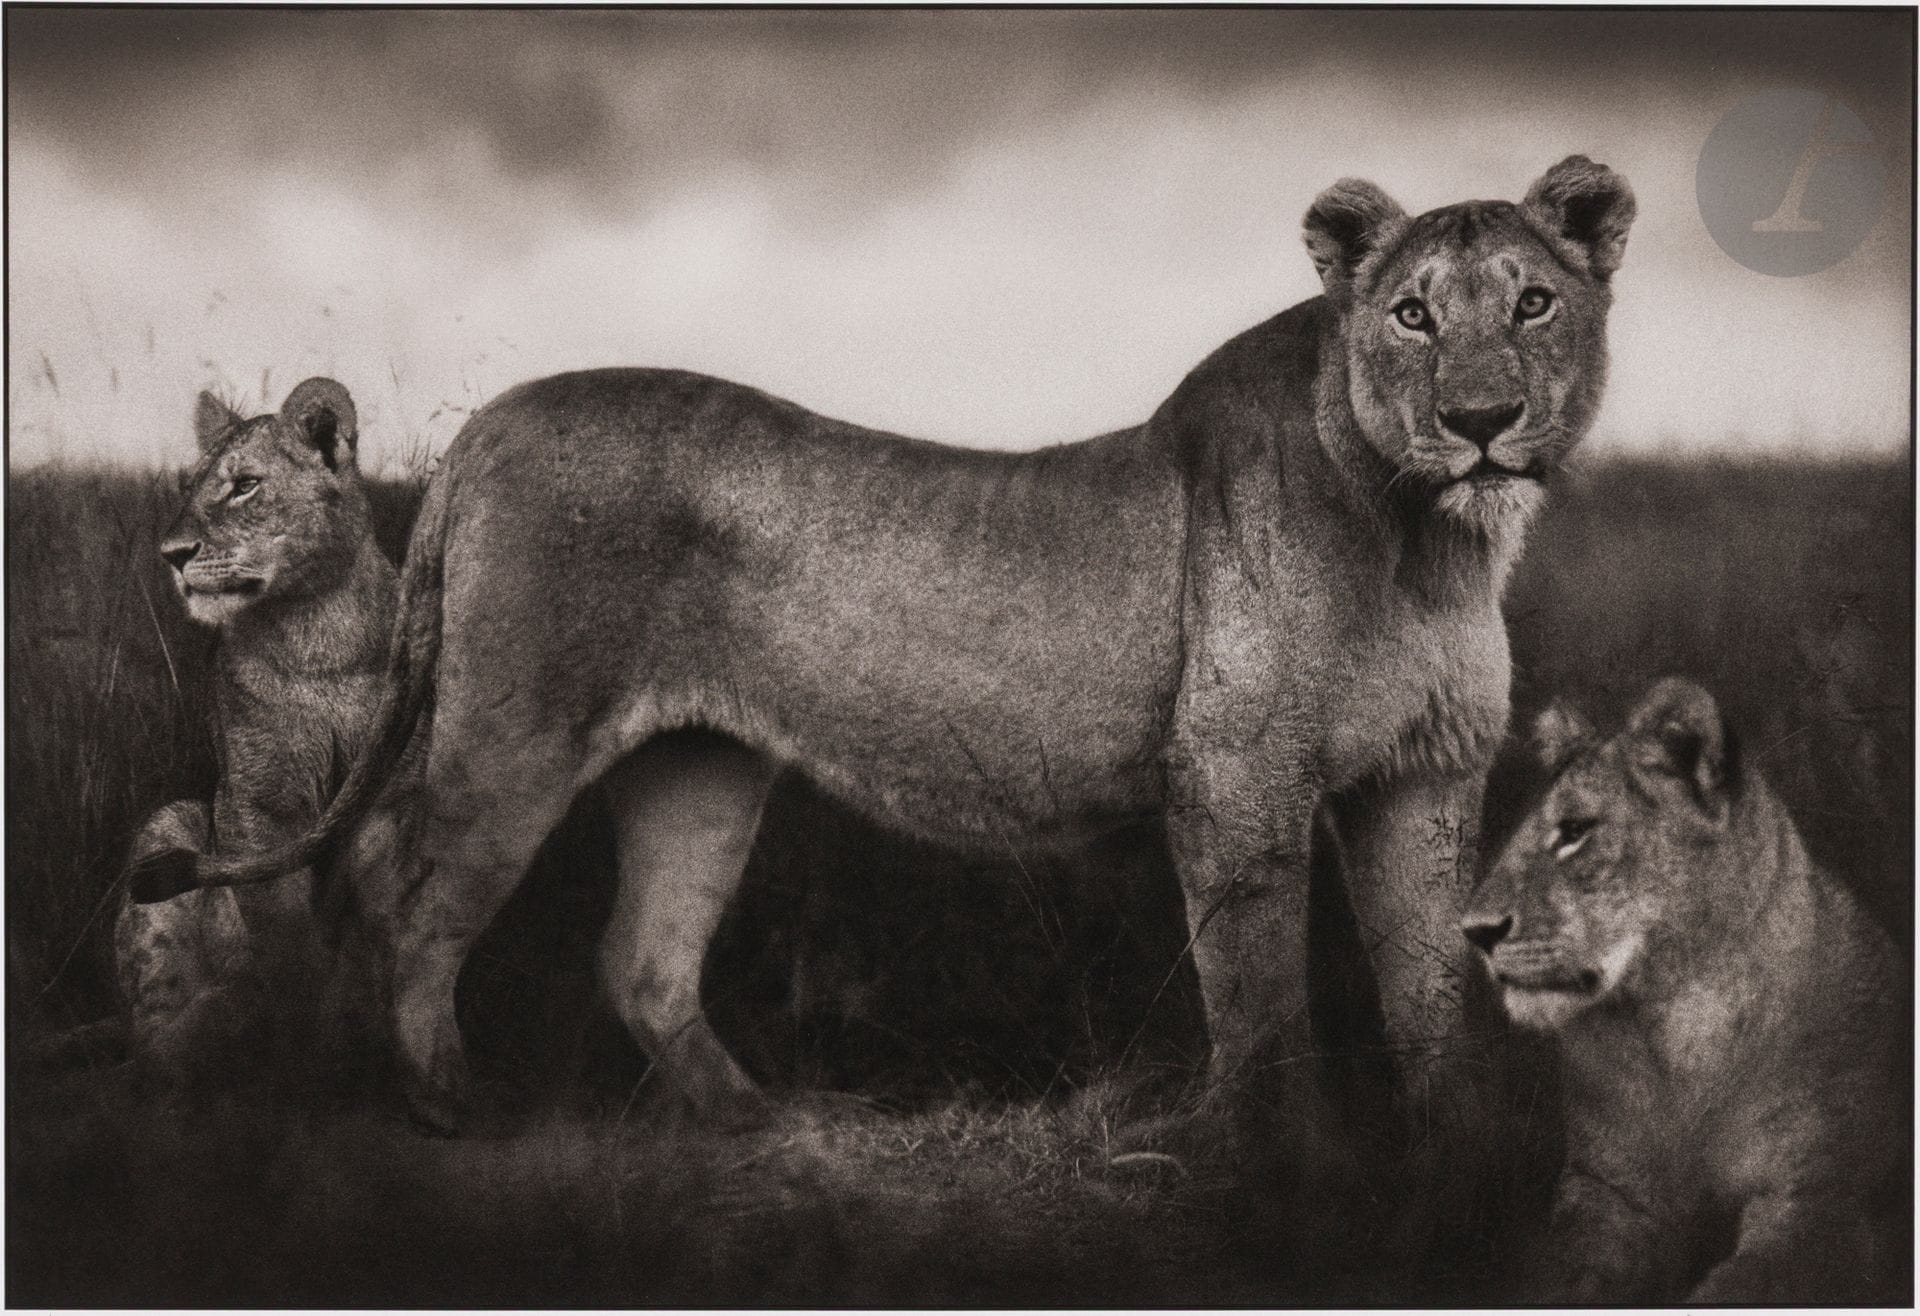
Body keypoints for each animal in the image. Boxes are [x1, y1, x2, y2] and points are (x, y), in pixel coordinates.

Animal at [115, 377, 395, 1085]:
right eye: (187, 485)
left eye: (245, 485)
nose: (172, 555)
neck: (318, 633)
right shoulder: (257, 808)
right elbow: (284, 942)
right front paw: (301, 1062)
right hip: (170, 825)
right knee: (151, 1043)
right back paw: (219, 1020)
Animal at [146, 156, 1636, 1141]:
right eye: (1413, 314)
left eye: (1534, 304)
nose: (1483, 419)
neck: (1429, 541)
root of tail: (487, 424)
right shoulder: (1234, 779)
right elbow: (1261, 994)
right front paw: (1279, 1173)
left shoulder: (1427, 776)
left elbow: (1431, 980)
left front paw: (1453, 1163)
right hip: (511, 732)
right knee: (402, 887)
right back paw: (439, 1103)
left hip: (700, 766)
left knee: (641, 955)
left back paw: (762, 1122)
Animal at [1461, 677, 1907, 1303]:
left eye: (1575, 832)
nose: (1474, 931)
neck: (1679, 1030)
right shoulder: (1606, 1190)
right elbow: (1570, 1276)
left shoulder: (1821, 1203)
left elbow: (1738, 1287)